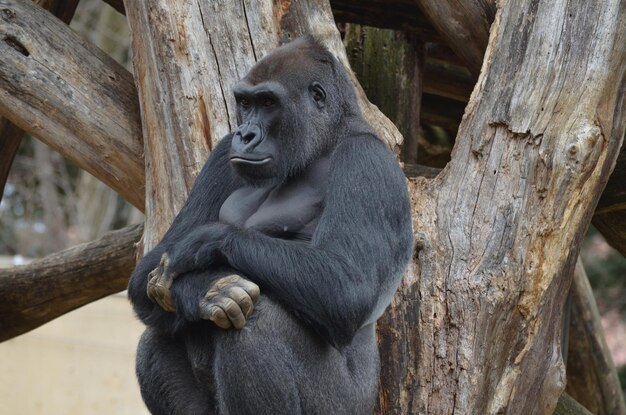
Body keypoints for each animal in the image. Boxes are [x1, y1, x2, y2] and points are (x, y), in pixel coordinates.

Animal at [127, 36, 412, 415]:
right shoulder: (222, 153)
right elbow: (146, 273)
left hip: (348, 407)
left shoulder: (366, 159)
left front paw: (205, 243)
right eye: (245, 103)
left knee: (257, 323)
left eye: (267, 103)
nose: (245, 134)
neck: (327, 139)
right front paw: (210, 291)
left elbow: (349, 288)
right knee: (159, 336)